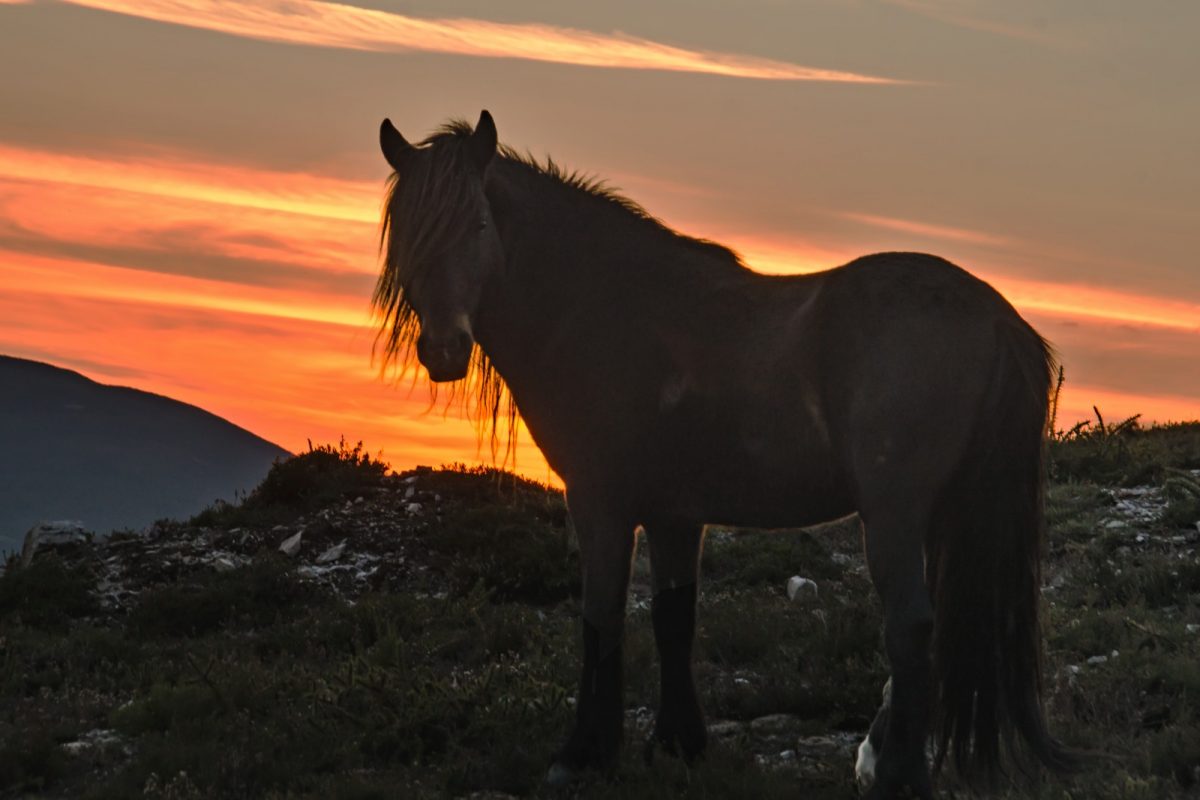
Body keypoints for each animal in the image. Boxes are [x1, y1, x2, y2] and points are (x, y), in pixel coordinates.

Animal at [369, 109, 1075, 796]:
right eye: (408, 232)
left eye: (478, 224)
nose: (444, 350)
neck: (604, 311)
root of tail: (996, 317)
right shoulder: (675, 515)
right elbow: (673, 617)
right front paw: (679, 744)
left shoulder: (599, 503)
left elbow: (600, 617)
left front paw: (583, 754)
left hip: (895, 514)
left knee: (909, 626)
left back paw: (896, 773)